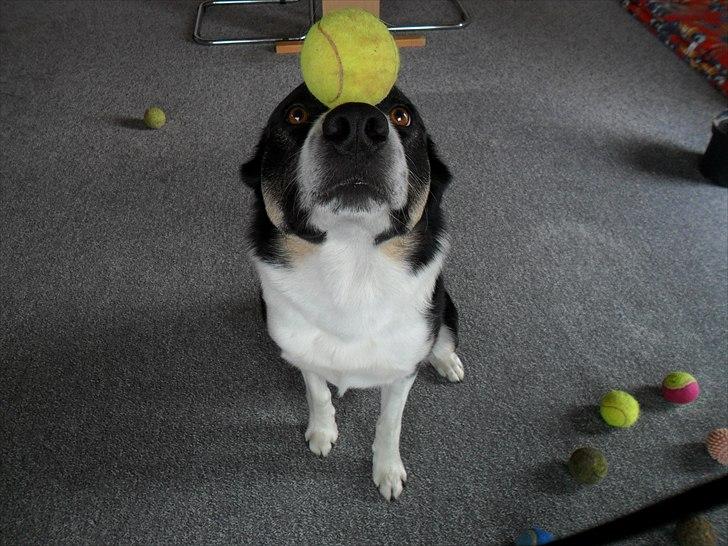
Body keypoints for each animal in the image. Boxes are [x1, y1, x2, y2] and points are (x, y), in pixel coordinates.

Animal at [243, 83, 460, 500]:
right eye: (295, 114)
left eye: (401, 116)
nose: (357, 126)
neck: (351, 274)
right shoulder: (302, 351)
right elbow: (318, 393)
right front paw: (322, 433)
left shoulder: (402, 368)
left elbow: (390, 423)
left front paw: (387, 471)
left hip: (446, 307)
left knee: (444, 336)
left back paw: (447, 362)